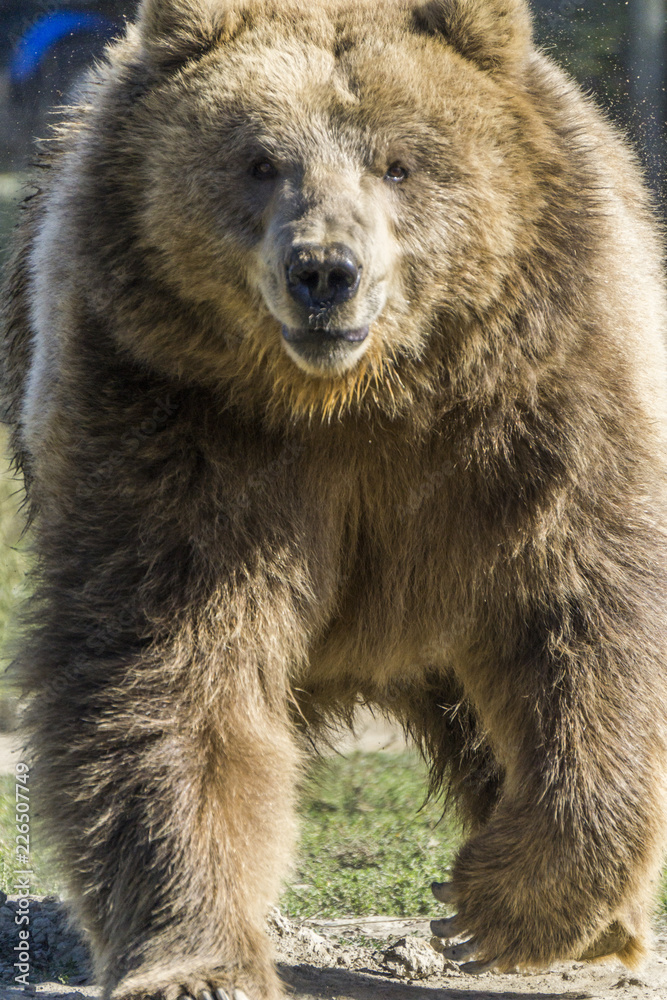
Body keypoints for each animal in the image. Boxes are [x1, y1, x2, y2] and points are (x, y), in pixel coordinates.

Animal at [2, 0, 667, 996]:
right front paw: (199, 961)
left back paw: (601, 925)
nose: (324, 271)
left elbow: (585, 621)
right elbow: (167, 667)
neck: (356, 399)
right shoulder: (173, 415)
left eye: (399, 162)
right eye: (258, 160)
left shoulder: (539, 406)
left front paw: (495, 905)